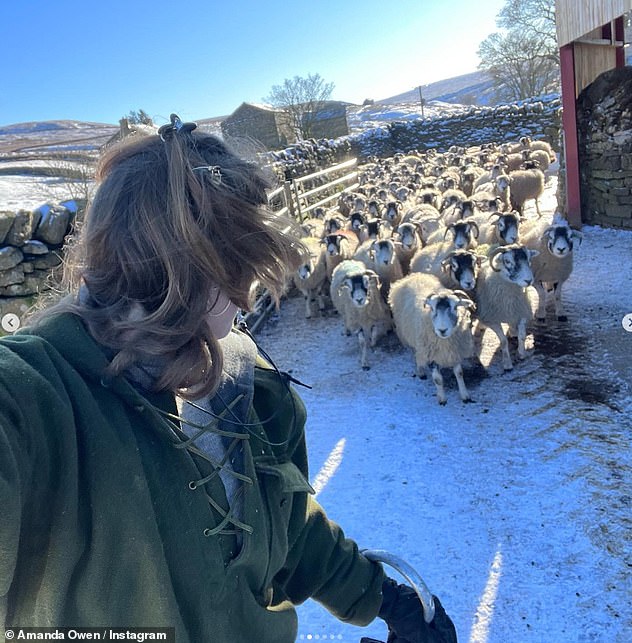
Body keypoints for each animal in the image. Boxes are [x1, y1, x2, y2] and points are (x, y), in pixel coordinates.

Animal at [390, 272, 474, 406]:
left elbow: (459, 373)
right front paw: (442, 399)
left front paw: (465, 396)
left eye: (455, 307)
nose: (442, 330)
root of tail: (412, 276)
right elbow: (438, 379)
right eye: (433, 308)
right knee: (416, 352)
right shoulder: (431, 354)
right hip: (410, 336)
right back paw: (420, 370)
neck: (445, 342)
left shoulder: (455, 351)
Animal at [474, 243, 540, 372]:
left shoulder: (521, 311)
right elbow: (503, 341)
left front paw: (522, 353)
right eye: (508, 261)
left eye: (529, 259)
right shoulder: (493, 319)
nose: (529, 280)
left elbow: (522, 336)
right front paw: (507, 363)